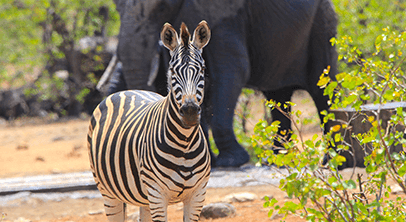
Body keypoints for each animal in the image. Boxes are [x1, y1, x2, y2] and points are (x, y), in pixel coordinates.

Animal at [87, 21, 211, 222]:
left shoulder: (197, 195)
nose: (190, 112)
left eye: (202, 70)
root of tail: (127, 90)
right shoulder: (157, 193)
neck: (184, 143)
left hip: (144, 198)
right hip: (107, 191)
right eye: (172, 71)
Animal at [109, 0, 338, 166]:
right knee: (277, 95)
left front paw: (231, 161)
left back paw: (332, 161)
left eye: (163, 7)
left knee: (322, 91)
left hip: (322, 24)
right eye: (117, 9)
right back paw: (277, 160)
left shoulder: (227, 16)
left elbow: (232, 70)